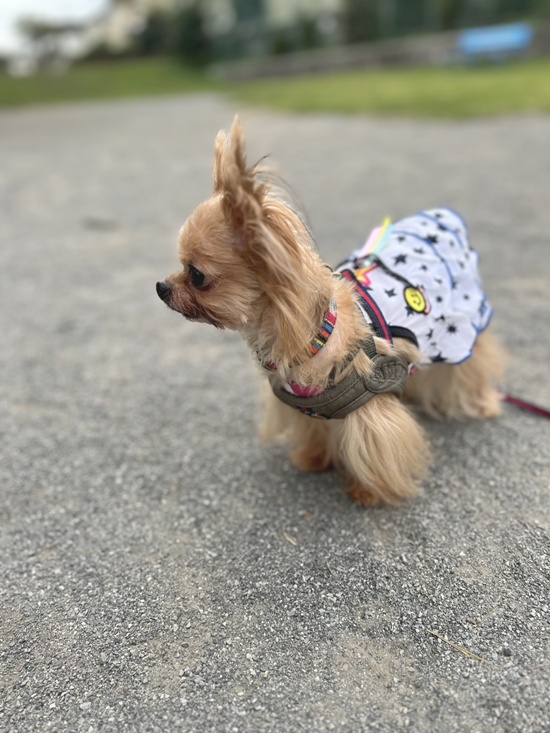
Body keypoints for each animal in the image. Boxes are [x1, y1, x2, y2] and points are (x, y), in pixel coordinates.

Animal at [157, 116, 504, 506]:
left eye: (197, 275)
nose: (161, 287)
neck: (315, 337)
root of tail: (440, 217)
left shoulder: (370, 410)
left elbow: (375, 449)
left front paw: (368, 493)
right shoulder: (307, 407)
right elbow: (315, 432)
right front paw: (313, 459)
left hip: (462, 328)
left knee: (473, 366)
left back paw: (482, 404)